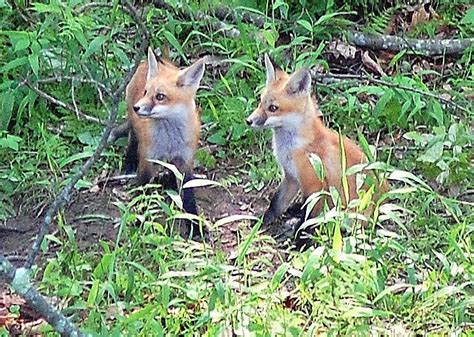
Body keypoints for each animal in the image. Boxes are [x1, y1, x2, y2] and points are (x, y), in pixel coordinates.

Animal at [126, 48, 206, 234]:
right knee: (132, 138)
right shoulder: (147, 160)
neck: (169, 141)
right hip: (133, 124)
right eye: (145, 92)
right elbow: (142, 192)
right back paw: (129, 161)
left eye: (160, 97)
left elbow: (189, 197)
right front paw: (138, 221)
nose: (137, 107)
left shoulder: (185, 160)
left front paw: (195, 226)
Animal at [246, 54, 386, 239]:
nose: (248, 121)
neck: (295, 147)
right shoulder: (291, 177)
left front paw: (301, 242)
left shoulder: (315, 184)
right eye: (260, 103)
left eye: (273, 108)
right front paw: (261, 221)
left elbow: (308, 220)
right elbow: (276, 203)